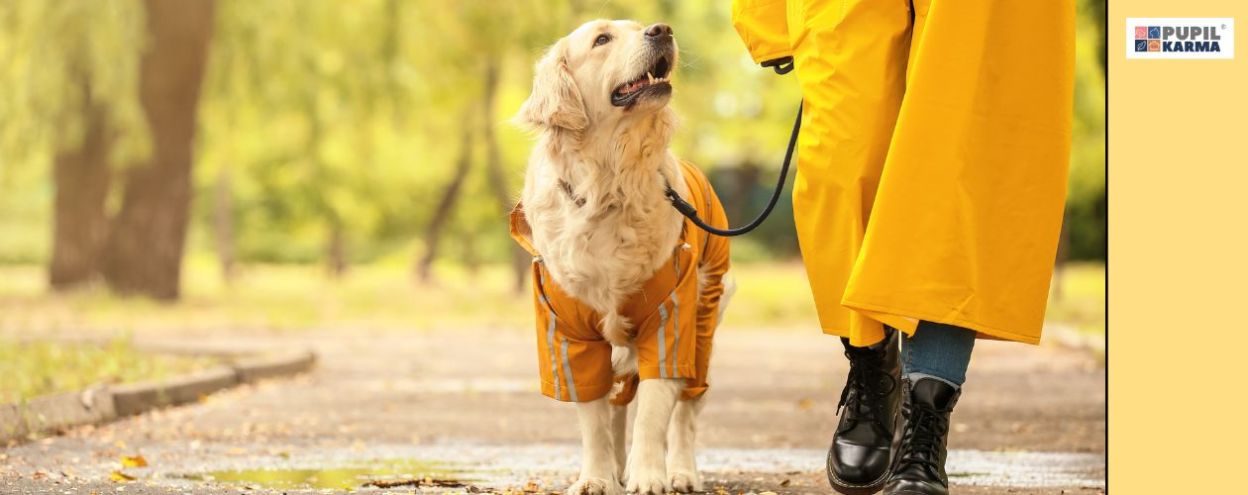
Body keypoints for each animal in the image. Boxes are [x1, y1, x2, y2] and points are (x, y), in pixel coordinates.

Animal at [514, 18, 733, 493]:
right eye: (602, 39)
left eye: (636, 27)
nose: (662, 29)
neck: (609, 184)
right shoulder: (569, 332)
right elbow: (594, 420)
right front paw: (597, 477)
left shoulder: (670, 317)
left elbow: (653, 412)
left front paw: (649, 476)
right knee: (616, 405)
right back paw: (616, 467)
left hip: (705, 321)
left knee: (686, 410)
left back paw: (681, 472)